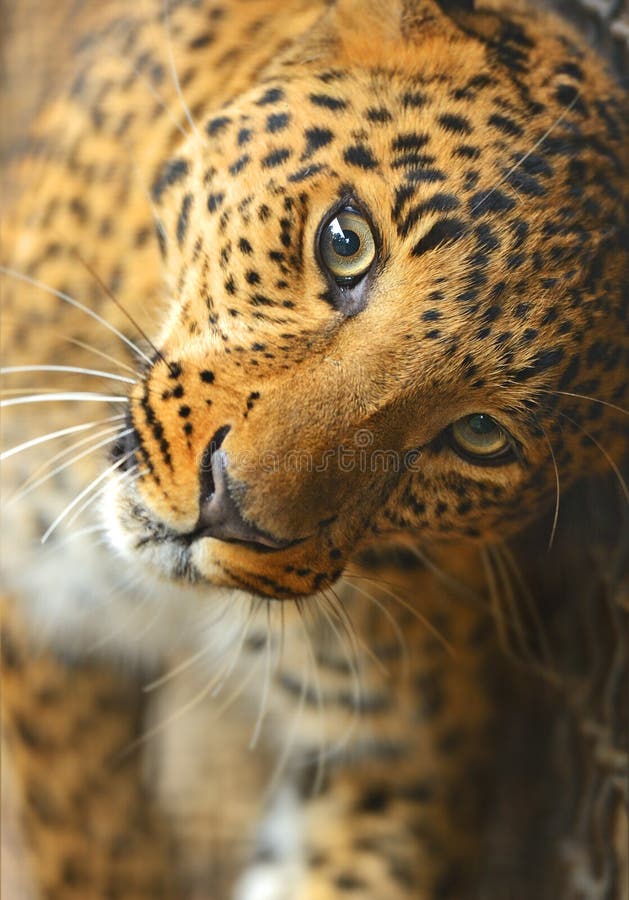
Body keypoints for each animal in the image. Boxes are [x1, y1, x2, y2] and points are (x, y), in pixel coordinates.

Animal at [1, 0, 628, 896]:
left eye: (480, 435)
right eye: (344, 242)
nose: (228, 510)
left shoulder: (396, 751)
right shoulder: (45, 606)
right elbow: (87, 835)